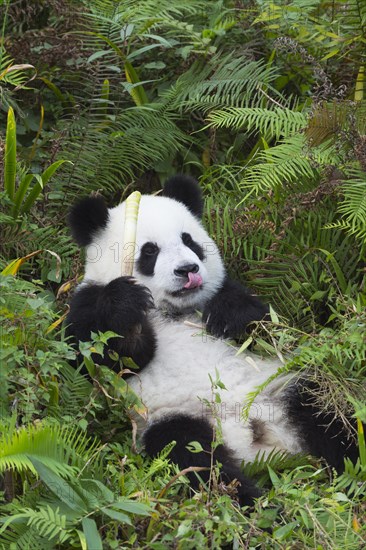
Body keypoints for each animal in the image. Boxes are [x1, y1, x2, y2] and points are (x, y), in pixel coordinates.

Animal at [67, 177, 358, 508]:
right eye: (150, 251)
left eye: (189, 241)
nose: (187, 270)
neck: (172, 310)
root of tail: (256, 441)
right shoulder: (87, 304)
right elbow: (101, 360)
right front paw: (128, 307)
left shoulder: (225, 297)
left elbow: (267, 328)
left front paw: (226, 315)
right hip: (173, 418)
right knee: (193, 457)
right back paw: (252, 505)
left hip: (280, 387)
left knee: (328, 412)